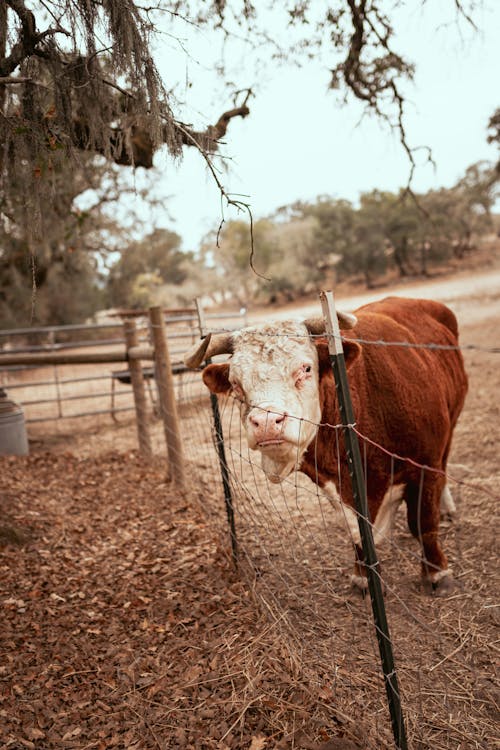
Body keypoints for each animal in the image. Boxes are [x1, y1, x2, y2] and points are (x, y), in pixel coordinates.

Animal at [185, 296, 468, 596]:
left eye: (306, 369)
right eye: (236, 384)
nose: (266, 421)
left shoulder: (425, 464)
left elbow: (423, 524)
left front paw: (437, 573)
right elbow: (357, 533)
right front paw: (363, 577)